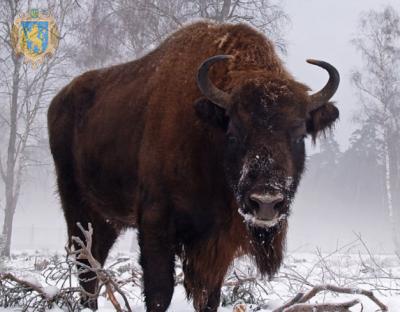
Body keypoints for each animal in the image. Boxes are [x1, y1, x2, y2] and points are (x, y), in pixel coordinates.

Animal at [48, 20, 340, 310]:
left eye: (299, 135)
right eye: (234, 133)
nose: (266, 202)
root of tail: (58, 101)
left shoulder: (217, 243)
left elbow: (209, 296)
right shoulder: (156, 224)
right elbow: (159, 293)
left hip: (108, 220)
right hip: (78, 209)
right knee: (86, 268)